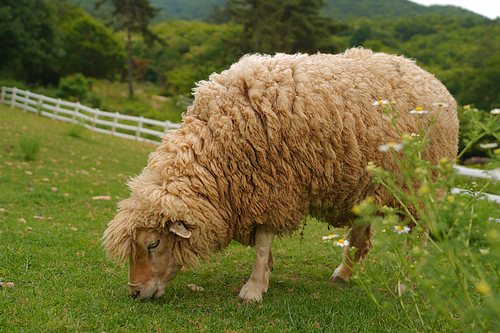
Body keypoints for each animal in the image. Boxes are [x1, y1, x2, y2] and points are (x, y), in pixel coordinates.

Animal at [103, 47, 458, 304]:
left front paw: (254, 287)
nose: (135, 292)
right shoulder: (261, 189)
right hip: (368, 183)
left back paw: (405, 285)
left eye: (153, 243)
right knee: (361, 228)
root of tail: (431, 78)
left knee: (419, 235)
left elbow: (262, 242)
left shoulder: (276, 184)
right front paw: (267, 273)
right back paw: (345, 272)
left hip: (421, 184)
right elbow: (264, 240)